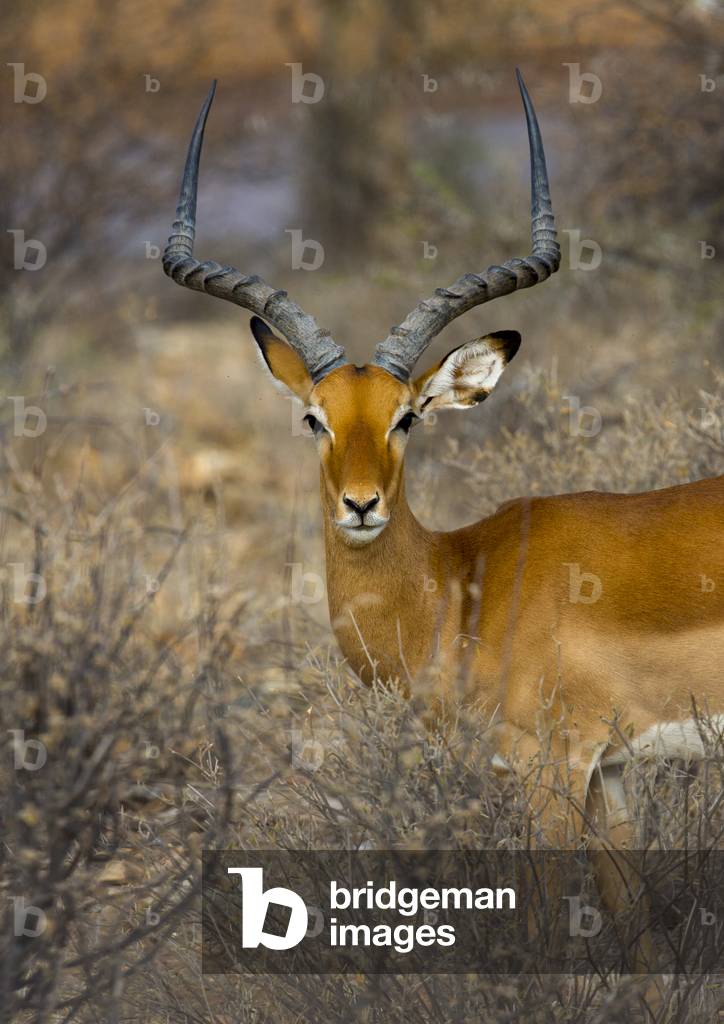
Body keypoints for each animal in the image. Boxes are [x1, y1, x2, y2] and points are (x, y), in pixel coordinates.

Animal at [163, 74, 724, 968]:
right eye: (314, 418)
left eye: (408, 417)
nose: (362, 505)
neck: (465, 585)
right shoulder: (610, 772)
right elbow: (639, 934)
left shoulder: (549, 768)